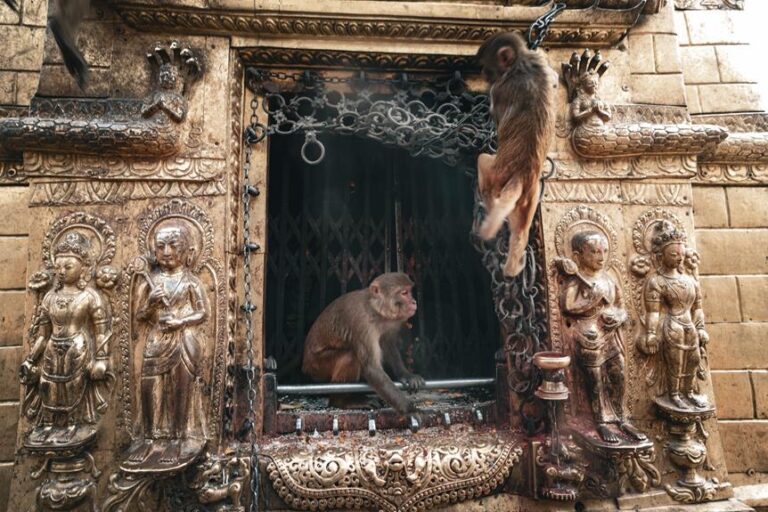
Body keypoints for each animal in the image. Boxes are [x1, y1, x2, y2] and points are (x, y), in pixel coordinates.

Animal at [302, 272, 425, 416]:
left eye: (409, 291)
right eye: (404, 293)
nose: (414, 301)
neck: (374, 310)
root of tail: (305, 367)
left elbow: (387, 345)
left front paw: (406, 375)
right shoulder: (361, 323)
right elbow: (372, 368)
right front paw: (410, 410)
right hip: (317, 367)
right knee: (350, 357)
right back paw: (341, 401)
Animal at [475, 31, 557, 277]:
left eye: (487, 69)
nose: (484, 75)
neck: (519, 63)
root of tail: (521, 176)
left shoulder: (500, 88)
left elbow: (497, 114)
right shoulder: (539, 59)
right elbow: (553, 75)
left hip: (496, 174)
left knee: (482, 161)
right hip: (530, 199)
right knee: (520, 231)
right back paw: (514, 266)